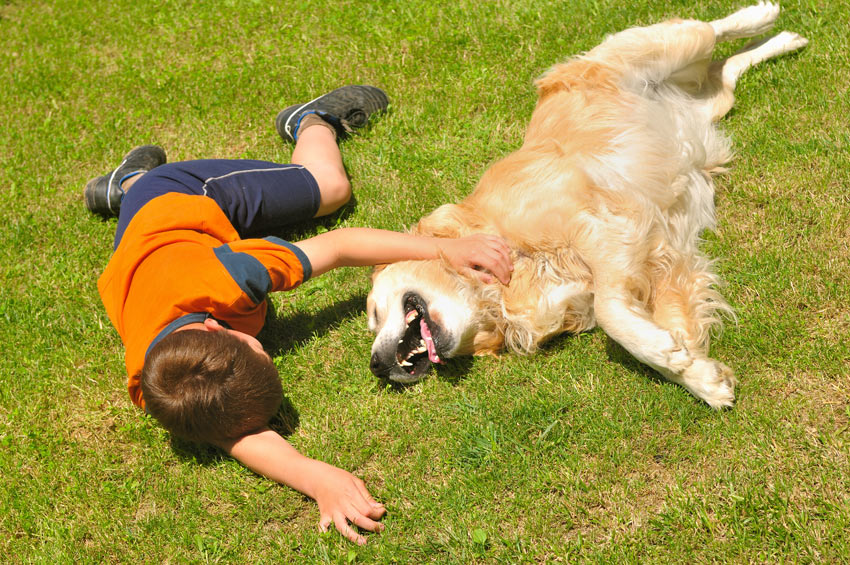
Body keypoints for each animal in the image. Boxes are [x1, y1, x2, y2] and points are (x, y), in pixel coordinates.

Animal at [368, 3, 804, 406]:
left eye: (373, 314)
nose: (375, 366)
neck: (503, 281)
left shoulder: (603, 223)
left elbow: (613, 315)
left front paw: (668, 355)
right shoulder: (658, 257)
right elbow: (673, 323)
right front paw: (701, 376)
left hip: (656, 49)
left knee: (707, 29)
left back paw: (761, 15)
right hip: (712, 101)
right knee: (725, 67)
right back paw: (784, 39)